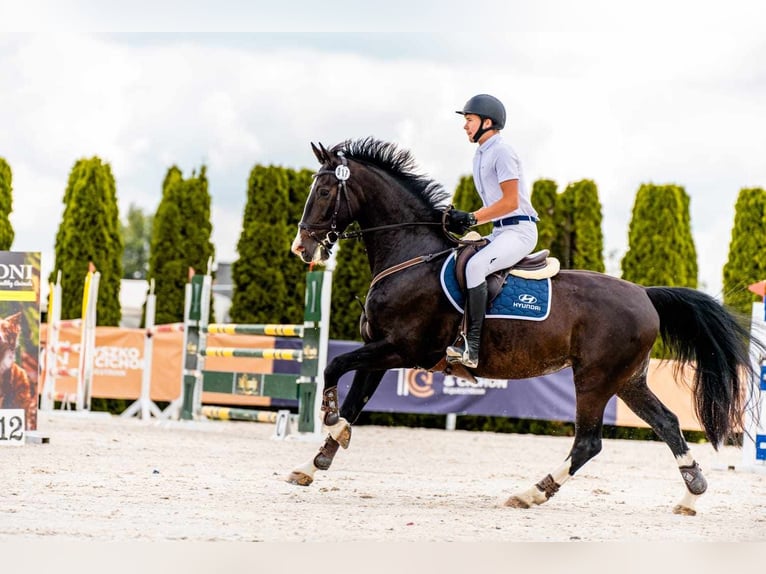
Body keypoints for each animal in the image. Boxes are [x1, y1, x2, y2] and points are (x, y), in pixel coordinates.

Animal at [290, 136, 760, 516]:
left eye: (325, 190)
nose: (302, 247)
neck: (411, 257)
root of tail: (645, 294)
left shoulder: (402, 350)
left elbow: (333, 369)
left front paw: (329, 420)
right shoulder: (381, 350)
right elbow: (354, 401)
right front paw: (314, 463)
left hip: (594, 378)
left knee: (589, 441)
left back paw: (532, 492)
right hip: (627, 380)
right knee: (667, 423)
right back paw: (691, 494)